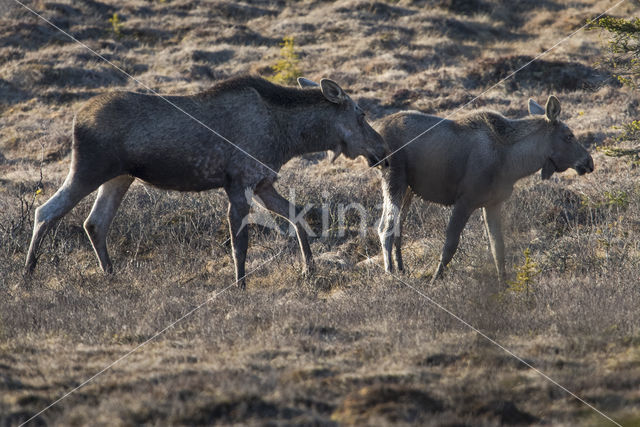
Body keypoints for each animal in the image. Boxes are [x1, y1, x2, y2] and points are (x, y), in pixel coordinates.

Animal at [25, 75, 388, 290]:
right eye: (361, 114)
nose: (383, 149)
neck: (290, 139)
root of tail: (77, 118)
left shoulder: (262, 182)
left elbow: (297, 215)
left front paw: (309, 270)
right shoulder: (239, 182)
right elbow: (240, 243)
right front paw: (241, 285)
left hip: (119, 176)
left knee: (94, 222)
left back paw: (110, 274)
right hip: (89, 167)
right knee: (46, 211)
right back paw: (27, 274)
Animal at [376, 95, 596, 286]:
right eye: (569, 136)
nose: (589, 162)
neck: (514, 163)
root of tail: (379, 127)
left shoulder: (493, 203)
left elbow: (498, 247)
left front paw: (503, 284)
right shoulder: (465, 201)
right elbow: (450, 245)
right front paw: (435, 279)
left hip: (408, 189)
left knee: (398, 228)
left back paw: (402, 269)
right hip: (394, 178)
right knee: (385, 228)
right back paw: (390, 274)